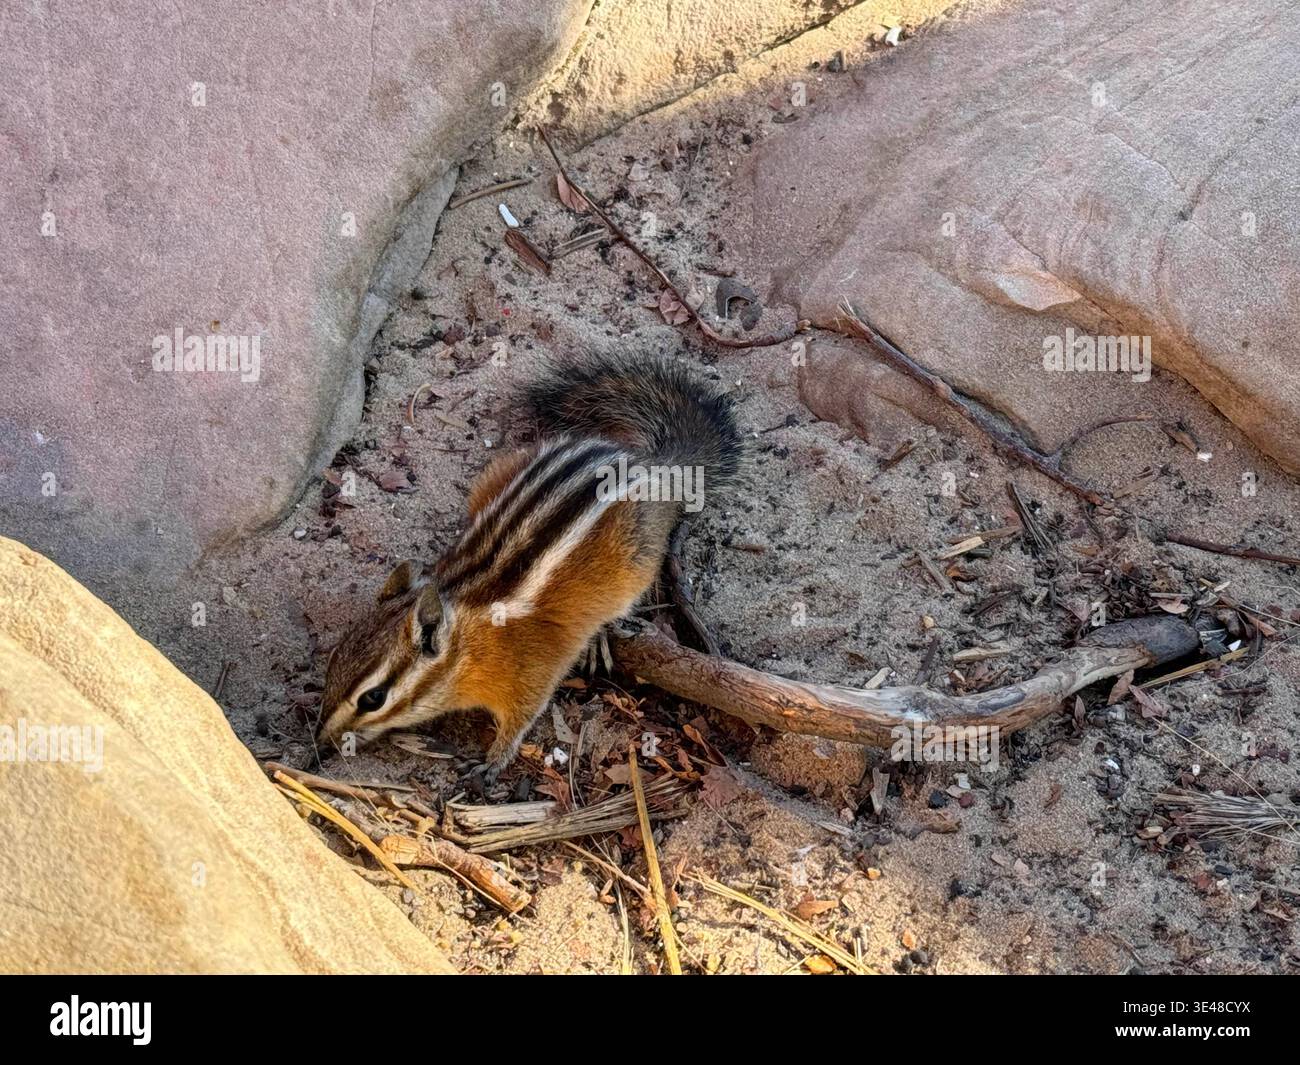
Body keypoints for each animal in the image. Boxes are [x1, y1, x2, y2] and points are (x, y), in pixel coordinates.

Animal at [317, 353, 741, 777]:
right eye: (332, 662)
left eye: (373, 698)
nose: (322, 742)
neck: (466, 644)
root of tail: (650, 464)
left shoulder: (530, 674)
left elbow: (522, 717)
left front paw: (494, 760)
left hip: (637, 564)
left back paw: (600, 636)